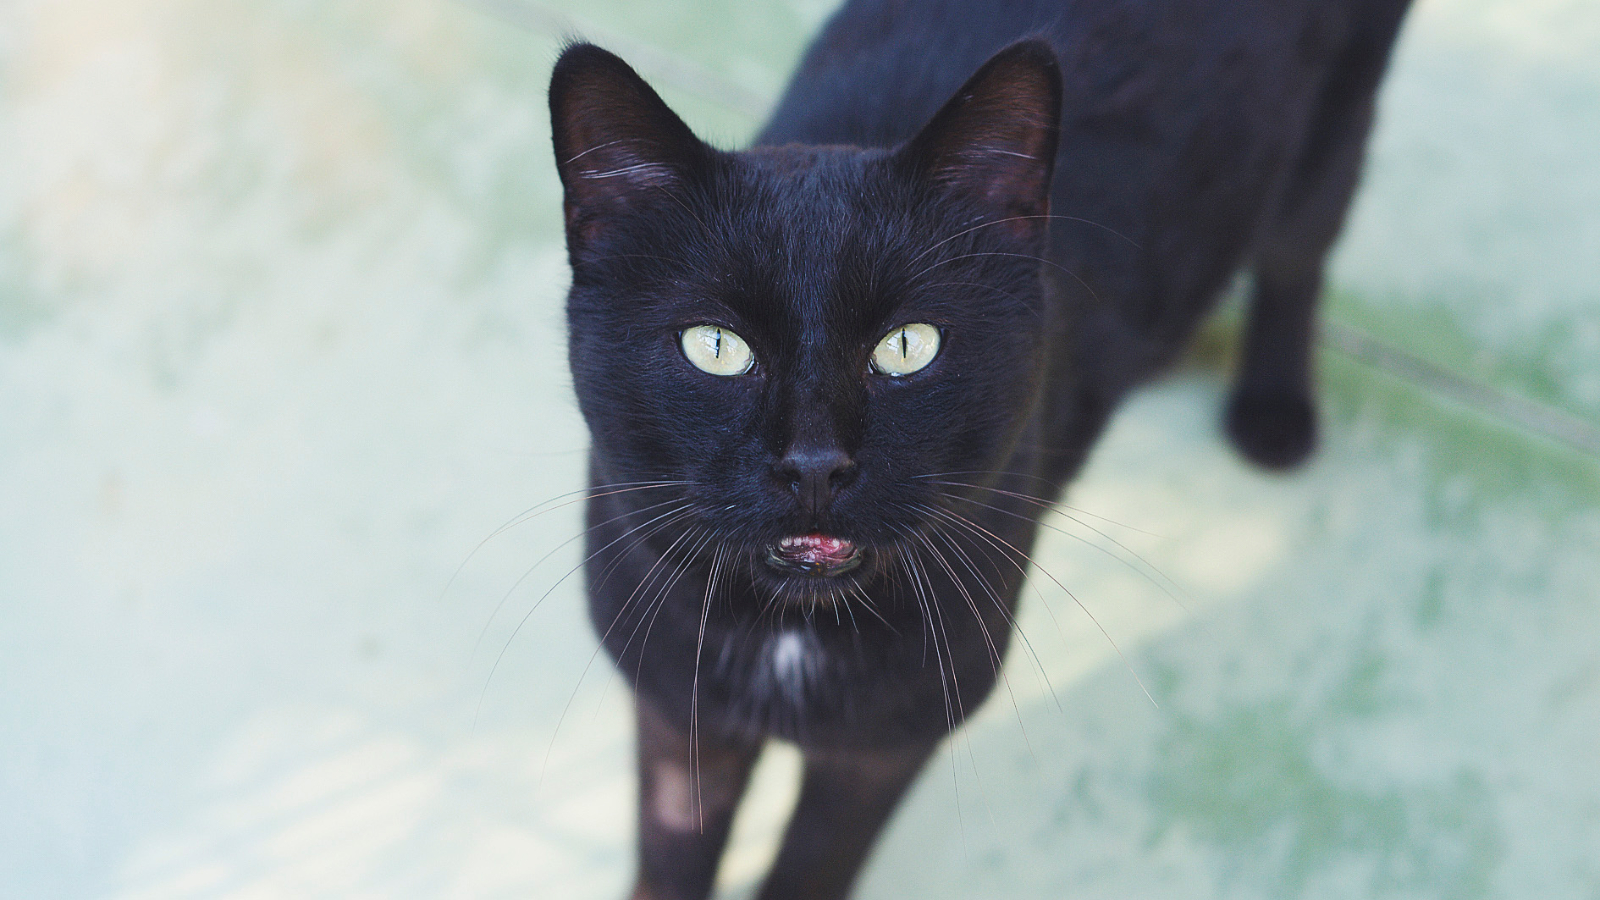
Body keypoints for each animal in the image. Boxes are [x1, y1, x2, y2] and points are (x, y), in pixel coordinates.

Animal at [547, 0, 1412, 896]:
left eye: (908, 347)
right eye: (715, 348)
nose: (814, 462)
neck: (789, 637)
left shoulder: (887, 745)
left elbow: (814, 863)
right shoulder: (678, 709)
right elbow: (673, 853)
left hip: (1331, 136)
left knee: (1298, 256)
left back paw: (1275, 412)